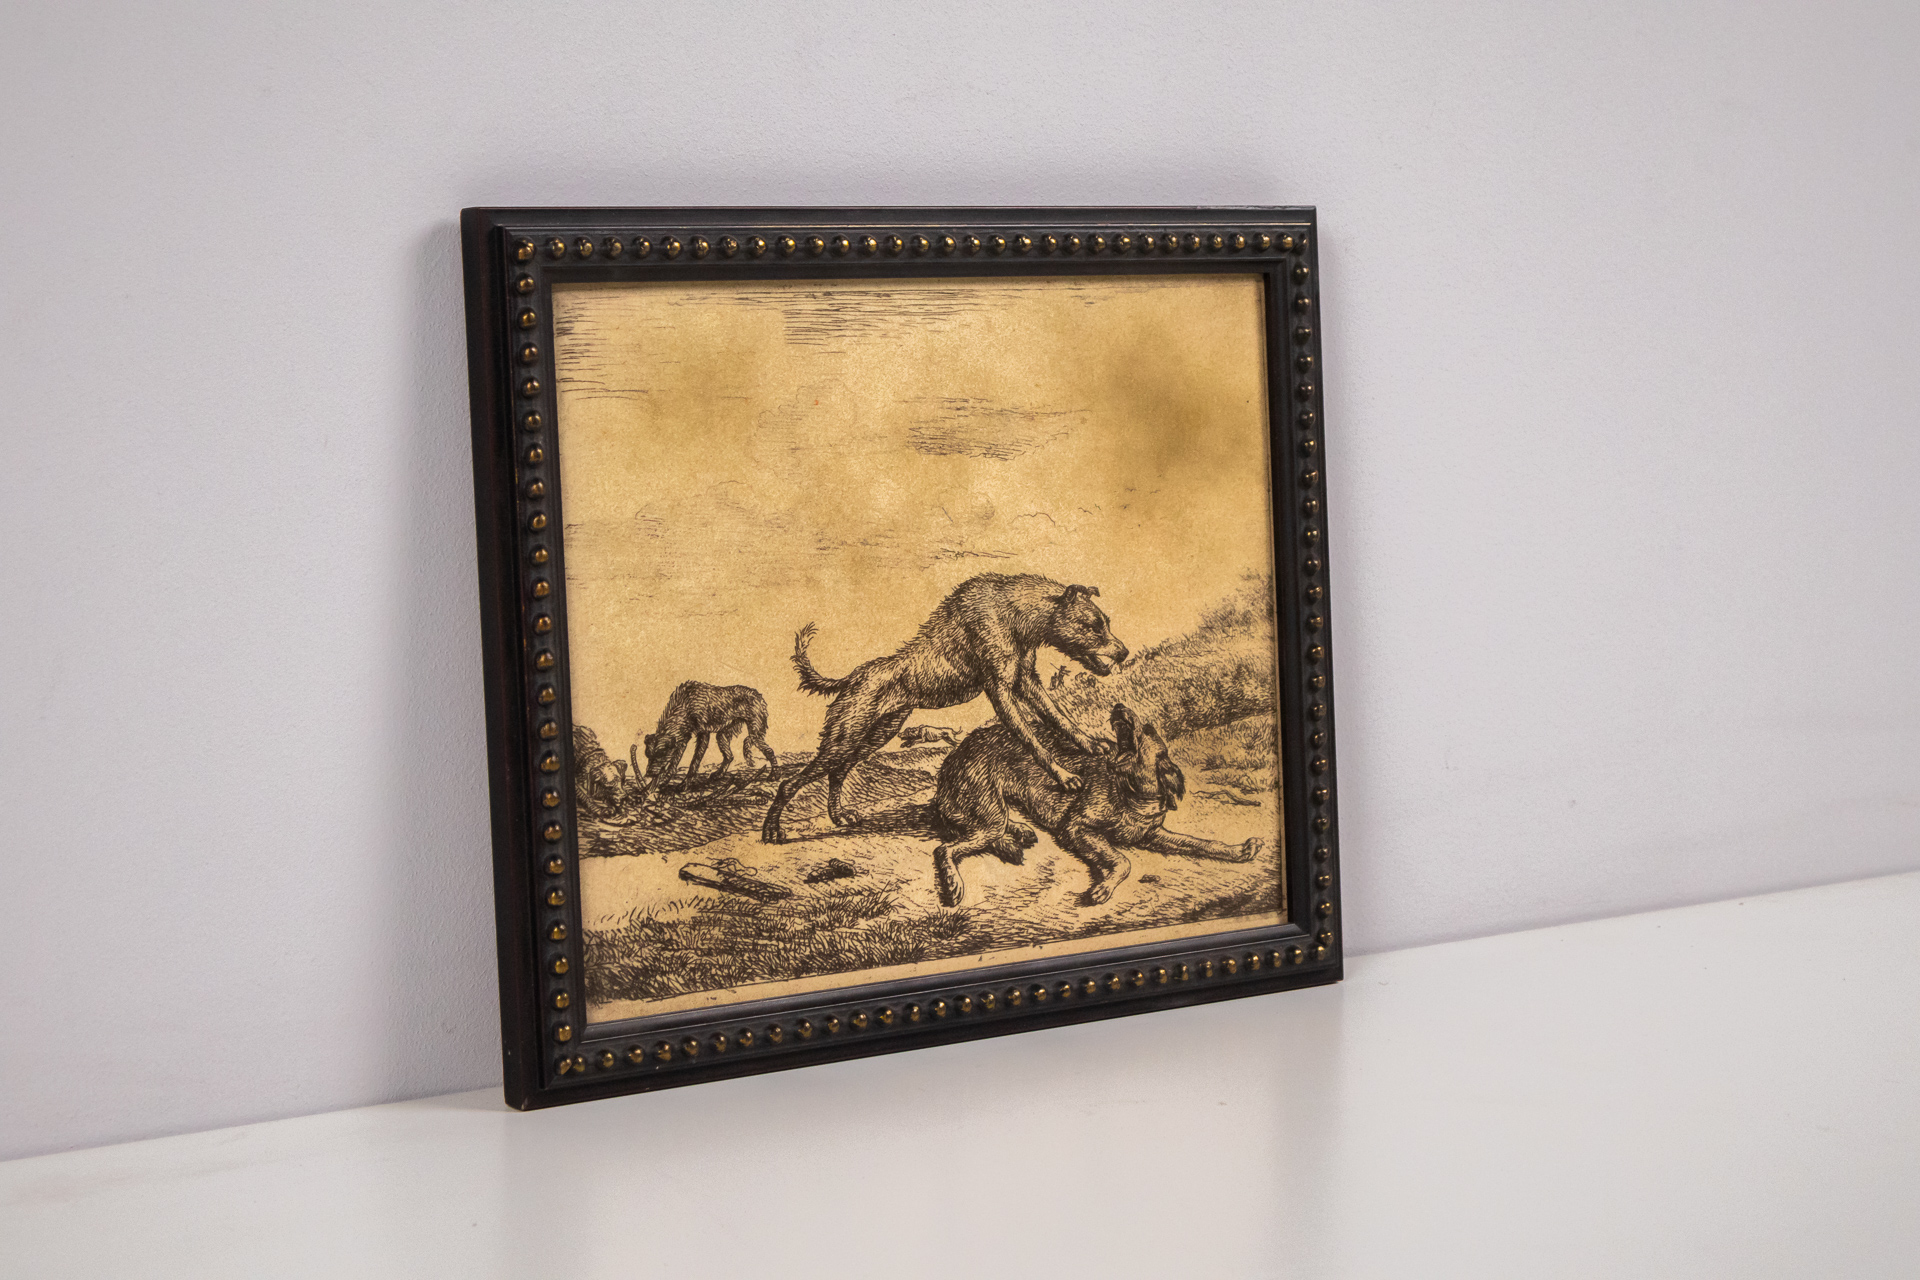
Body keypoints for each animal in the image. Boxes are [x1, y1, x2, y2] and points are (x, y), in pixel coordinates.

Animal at [639, 681, 780, 795]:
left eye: (661, 753)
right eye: (648, 755)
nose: (649, 773)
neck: (685, 704)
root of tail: (758, 695)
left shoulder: (703, 734)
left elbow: (694, 763)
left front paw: (684, 785)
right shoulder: (682, 740)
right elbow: (673, 763)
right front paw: (656, 784)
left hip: (755, 735)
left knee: (769, 750)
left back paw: (775, 774)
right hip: (722, 735)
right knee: (729, 756)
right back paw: (718, 774)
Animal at [761, 574, 1128, 843]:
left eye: (1106, 621)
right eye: (1093, 625)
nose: (1124, 652)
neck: (1013, 612)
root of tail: (853, 677)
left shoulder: (1026, 681)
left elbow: (1059, 717)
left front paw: (1091, 744)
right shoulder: (1000, 690)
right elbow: (1031, 739)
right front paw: (1064, 775)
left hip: (875, 735)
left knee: (837, 773)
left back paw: (839, 816)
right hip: (844, 737)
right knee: (792, 782)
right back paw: (772, 830)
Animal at [930, 703, 1259, 907]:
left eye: (1147, 729)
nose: (1118, 706)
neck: (1131, 797)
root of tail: (952, 759)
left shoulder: (1153, 834)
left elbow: (1199, 842)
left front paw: (1239, 850)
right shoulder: (1077, 828)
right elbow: (1124, 861)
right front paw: (1104, 886)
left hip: (995, 809)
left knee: (979, 829)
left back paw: (1019, 832)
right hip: (989, 810)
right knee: (947, 847)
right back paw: (955, 883)